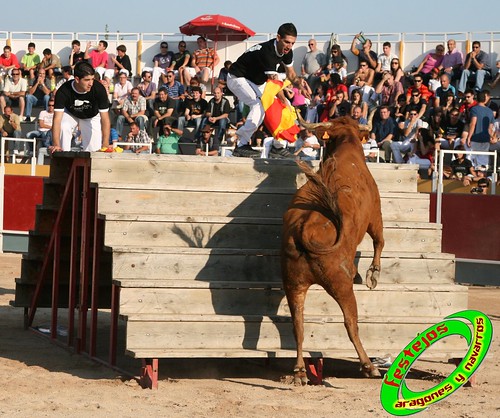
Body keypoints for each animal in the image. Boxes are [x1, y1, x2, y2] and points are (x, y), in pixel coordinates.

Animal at [282, 115, 382, 386]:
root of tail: (304, 228)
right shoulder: (376, 216)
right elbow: (379, 241)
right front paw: (373, 275)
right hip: (341, 286)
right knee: (350, 323)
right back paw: (369, 366)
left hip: (293, 284)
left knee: (298, 325)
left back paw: (300, 371)